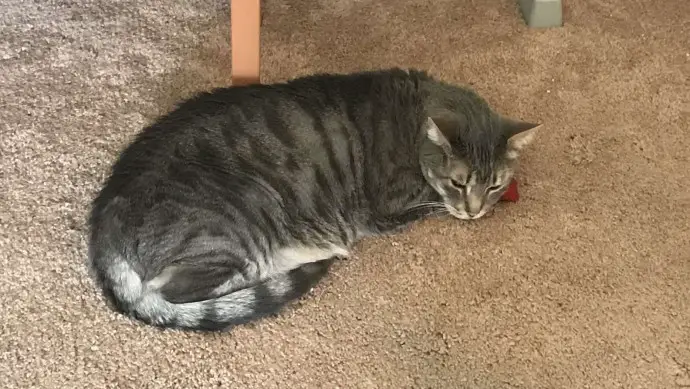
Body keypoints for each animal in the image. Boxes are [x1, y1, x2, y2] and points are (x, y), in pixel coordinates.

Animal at [87, 67, 536, 330]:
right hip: (239, 221)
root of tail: (103, 224)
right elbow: (431, 202)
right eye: (458, 183)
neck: (414, 122)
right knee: (179, 290)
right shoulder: (392, 204)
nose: (475, 211)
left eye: (493, 184)